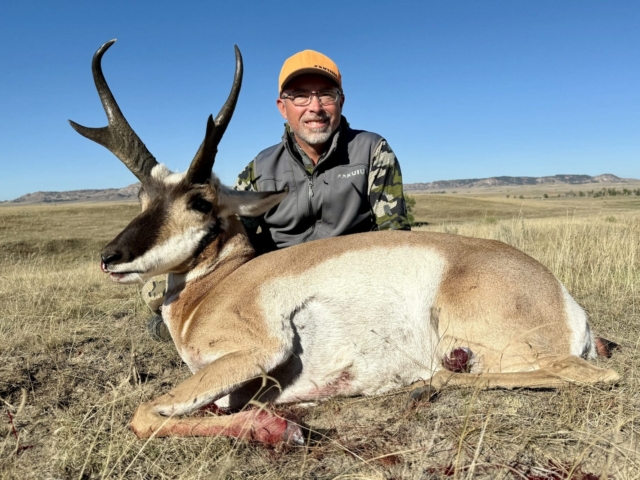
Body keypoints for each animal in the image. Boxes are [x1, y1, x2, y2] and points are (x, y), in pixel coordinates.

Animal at [70, 40, 619, 445]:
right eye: (143, 197)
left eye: (201, 202)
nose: (109, 258)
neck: (221, 285)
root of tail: (560, 295)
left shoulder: (253, 353)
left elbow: (144, 413)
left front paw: (281, 429)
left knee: (592, 376)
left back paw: (421, 385)